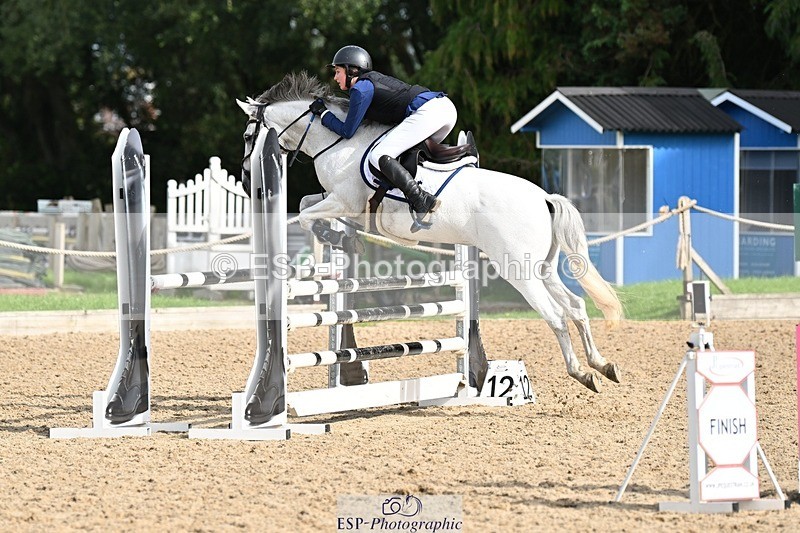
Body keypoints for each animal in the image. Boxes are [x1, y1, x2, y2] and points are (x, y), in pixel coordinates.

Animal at [237, 72, 623, 393]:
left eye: (247, 135)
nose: (246, 178)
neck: (336, 143)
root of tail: (545, 198)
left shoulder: (345, 200)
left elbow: (305, 215)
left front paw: (342, 239)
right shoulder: (339, 202)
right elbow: (305, 204)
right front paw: (345, 240)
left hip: (519, 270)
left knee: (556, 315)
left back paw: (582, 373)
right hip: (541, 267)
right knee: (576, 307)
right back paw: (603, 365)